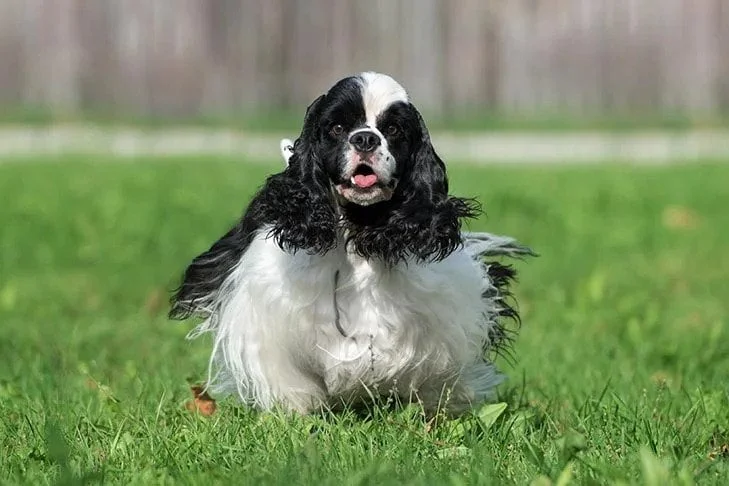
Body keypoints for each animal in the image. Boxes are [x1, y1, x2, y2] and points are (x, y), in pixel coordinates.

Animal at [172, 72, 536, 414]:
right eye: (336, 127)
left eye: (393, 129)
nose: (365, 138)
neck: (356, 228)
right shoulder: (268, 307)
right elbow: (288, 375)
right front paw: (298, 409)